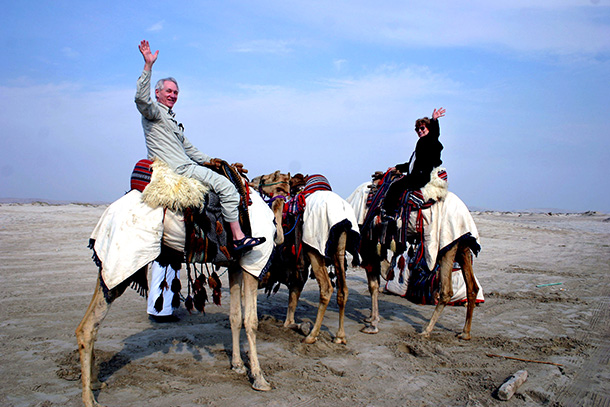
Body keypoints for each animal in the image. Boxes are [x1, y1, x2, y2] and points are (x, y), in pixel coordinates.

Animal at [75, 168, 274, 404]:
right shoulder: (253, 264)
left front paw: (237, 365)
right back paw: (89, 400)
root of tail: (107, 214)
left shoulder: (235, 265)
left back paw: (95, 382)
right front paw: (259, 378)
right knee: (89, 326)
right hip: (124, 259)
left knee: (89, 323)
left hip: (109, 262)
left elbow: (235, 317)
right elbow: (251, 322)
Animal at [253, 172, 360, 344]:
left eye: (265, 179)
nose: (253, 180)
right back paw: (340, 336)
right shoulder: (297, 275)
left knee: (326, 288)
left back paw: (312, 336)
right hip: (339, 247)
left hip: (315, 248)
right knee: (343, 289)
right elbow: (289, 317)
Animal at [352, 168, 480, 338]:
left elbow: (373, 285)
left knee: (447, 291)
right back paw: (465, 332)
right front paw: (371, 318)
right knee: (472, 287)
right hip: (461, 243)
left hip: (446, 243)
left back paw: (426, 330)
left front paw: (373, 324)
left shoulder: (367, 243)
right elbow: (376, 281)